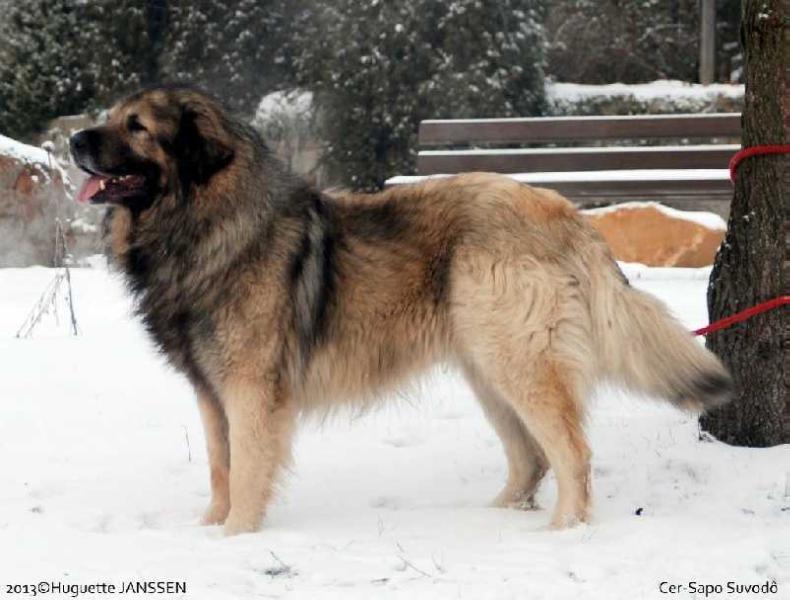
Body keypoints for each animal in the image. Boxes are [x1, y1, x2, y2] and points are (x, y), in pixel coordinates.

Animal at [69, 86, 736, 536]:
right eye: (113, 118)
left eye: (137, 127)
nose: (75, 140)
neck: (206, 222)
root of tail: (564, 213)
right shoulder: (212, 393)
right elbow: (219, 468)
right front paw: (210, 530)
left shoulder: (251, 391)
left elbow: (248, 471)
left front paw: (235, 538)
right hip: (488, 369)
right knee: (532, 458)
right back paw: (493, 521)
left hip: (519, 361)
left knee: (571, 453)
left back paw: (559, 534)